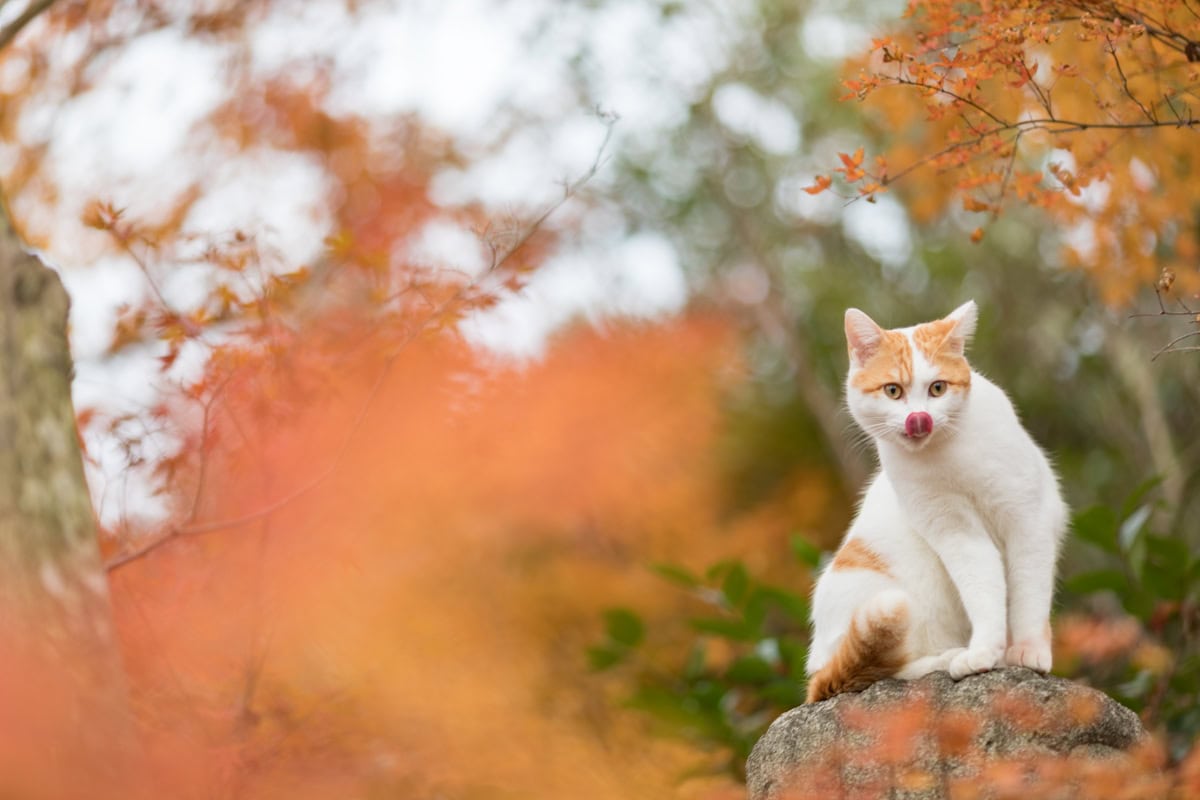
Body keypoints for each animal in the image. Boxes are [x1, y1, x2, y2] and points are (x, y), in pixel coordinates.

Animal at [806, 298, 1070, 700]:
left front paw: (1027, 650)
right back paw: (945, 658)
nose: (919, 419)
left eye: (938, 388)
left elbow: (1029, 592)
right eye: (893, 391)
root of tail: (816, 669)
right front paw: (984, 650)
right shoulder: (956, 533)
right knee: (882, 670)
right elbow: (983, 589)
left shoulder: (1028, 519)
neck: (948, 456)